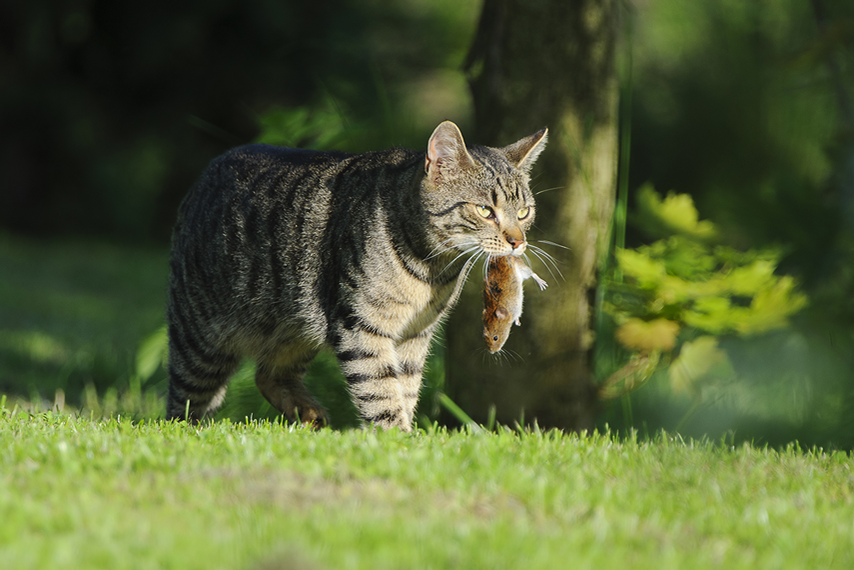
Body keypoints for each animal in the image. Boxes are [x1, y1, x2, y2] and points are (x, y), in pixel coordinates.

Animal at [166, 121, 548, 430]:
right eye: (485, 210)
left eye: (524, 212)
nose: (518, 242)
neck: (431, 270)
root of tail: (207, 172)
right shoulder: (360, 324)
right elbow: (379, 389)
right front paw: (397, 439)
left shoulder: (415, 334)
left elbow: (405, 388)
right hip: (200, 343)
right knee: (181, 406)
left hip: (293, 329)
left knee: (267, 374)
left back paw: (310, 415)